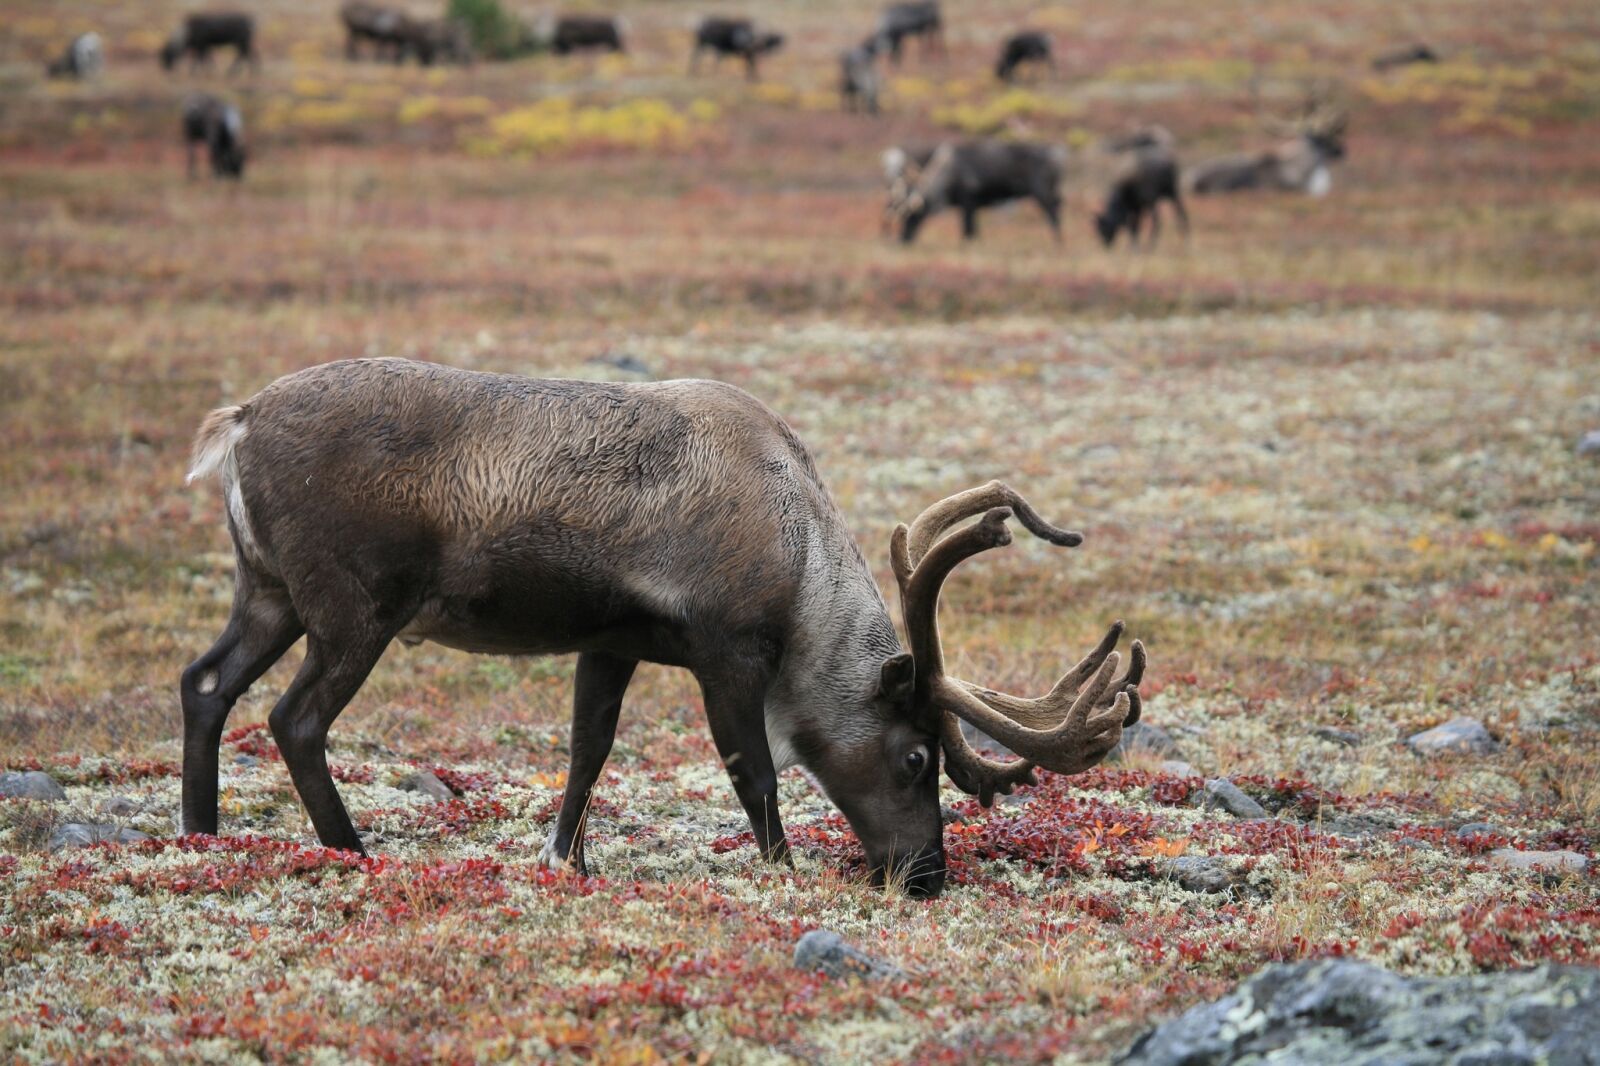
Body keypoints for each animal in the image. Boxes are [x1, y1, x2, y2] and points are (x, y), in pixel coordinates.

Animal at [181, 359, 1144, 898]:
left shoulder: (611, 641)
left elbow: (587, 752)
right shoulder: (728, 648)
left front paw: (566, 862)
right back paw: (351, 852)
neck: (800, 564)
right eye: (916, 758)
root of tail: (236, 423)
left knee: (205, 683)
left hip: (267, 591)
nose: (928, 877)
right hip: (354, 608)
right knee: (294, 719)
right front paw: (782, 870)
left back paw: (202, 837)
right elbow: (752, 767)